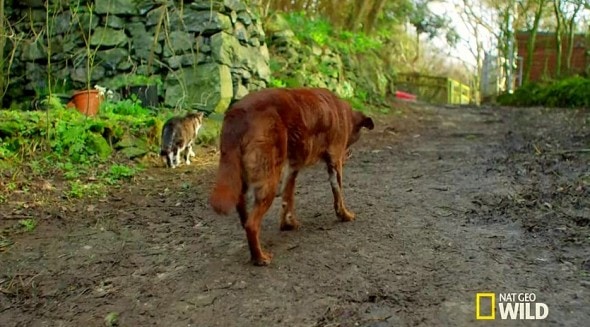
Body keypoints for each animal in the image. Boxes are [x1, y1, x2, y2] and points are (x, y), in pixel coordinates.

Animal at [208, 87, 374, 266]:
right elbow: (338, 194)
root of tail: (237, 114)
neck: (341, 111)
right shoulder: (335, 161)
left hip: (242, 181)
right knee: (252, 225)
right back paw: (260, 258)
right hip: (269, 181)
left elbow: (288, 197)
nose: (348, 156)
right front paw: (345, 215)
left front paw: (288, 223)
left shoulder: (292, 167)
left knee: (245, 219)